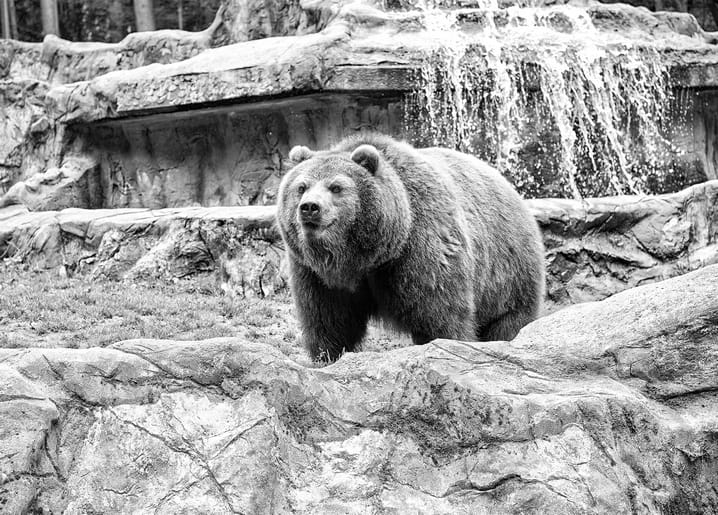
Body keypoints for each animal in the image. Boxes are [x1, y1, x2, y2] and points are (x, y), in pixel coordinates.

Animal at [276, 133, 545, 362]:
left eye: (336, 187)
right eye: (301, 187)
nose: (310, 207)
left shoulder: (421, 249)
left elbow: (439, 314)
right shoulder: (316, 275)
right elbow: (329, 321)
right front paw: (327, 357)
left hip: (507, 270)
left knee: (510, 318)